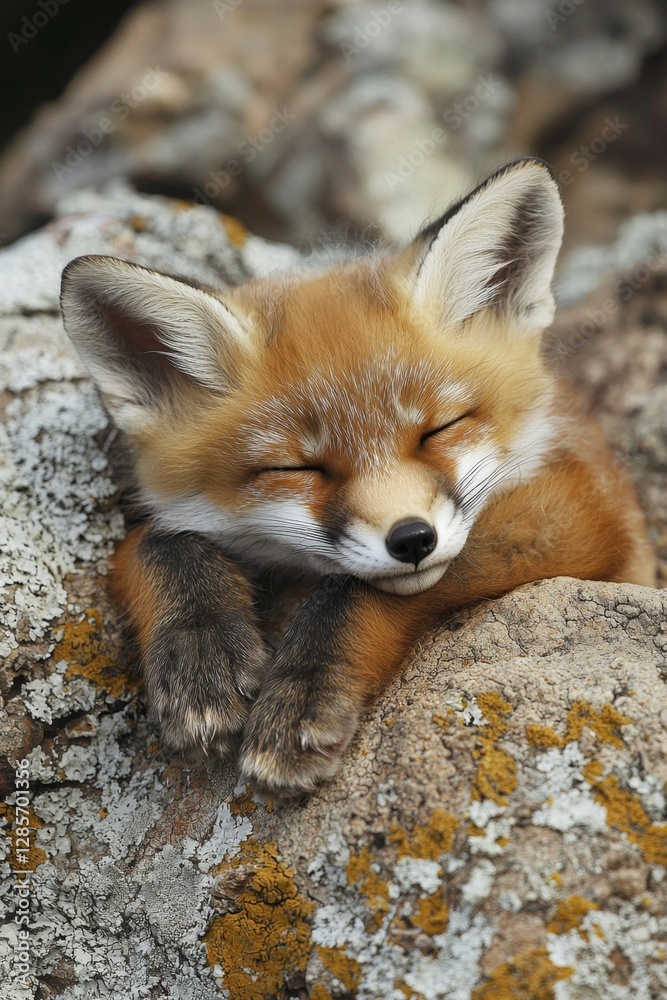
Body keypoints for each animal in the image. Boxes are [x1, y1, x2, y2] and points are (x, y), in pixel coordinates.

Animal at [60, 158, 655, 796]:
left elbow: (351, 588)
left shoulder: (577, 511)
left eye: (439, 429)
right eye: (297, 467)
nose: (413, 540)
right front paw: (201, 648)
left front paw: (305, 685)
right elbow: (159, 542)